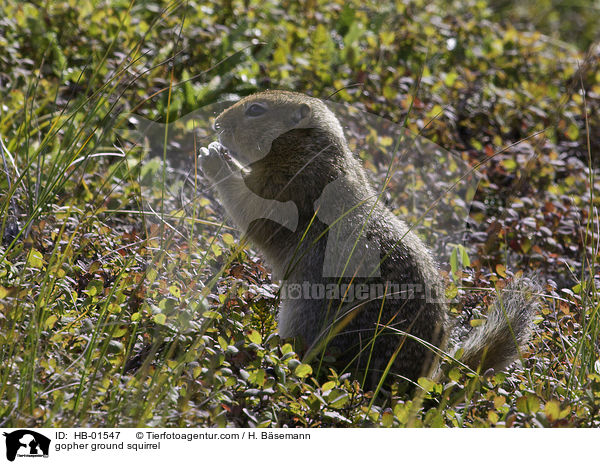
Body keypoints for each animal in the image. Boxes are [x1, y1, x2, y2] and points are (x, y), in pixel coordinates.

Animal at [199, 89, 540, 386]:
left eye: (256, 110)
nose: (216, 123)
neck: (306, 153)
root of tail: (414, 386)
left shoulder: (283, 191)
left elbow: (250, 208)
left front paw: (213, 158)